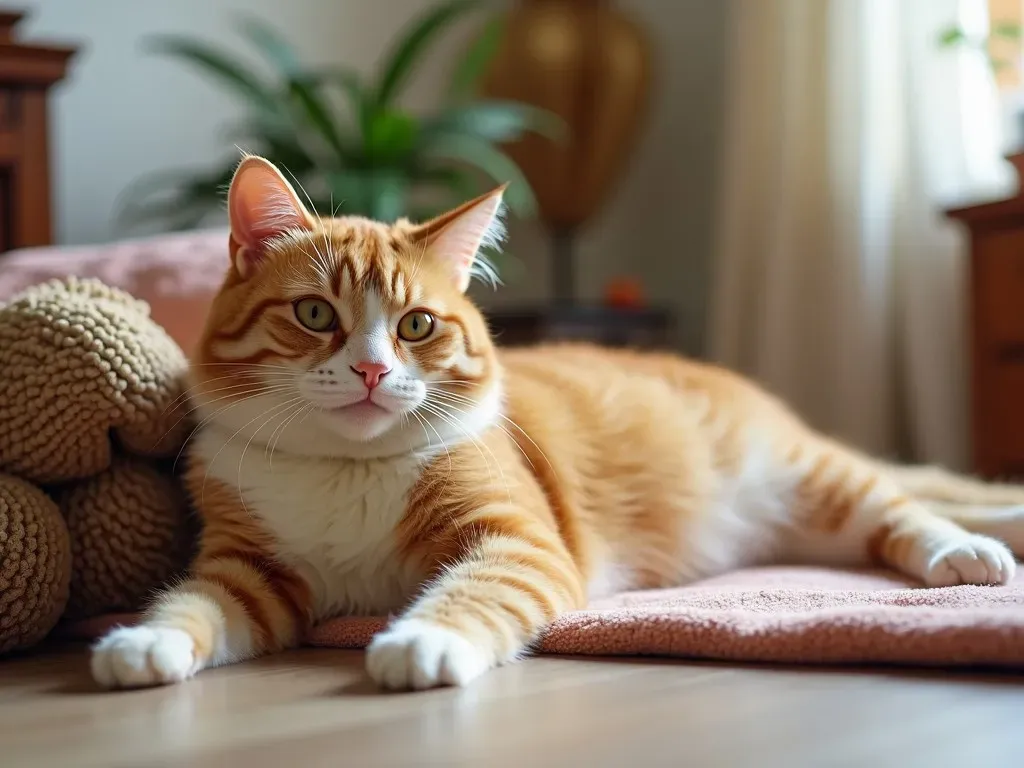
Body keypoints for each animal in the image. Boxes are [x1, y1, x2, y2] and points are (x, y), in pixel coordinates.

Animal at [92, 154, 1019, 692]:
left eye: (416, 326)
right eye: (316, 313)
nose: (372, 370)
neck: (344, 472)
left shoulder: (517, 541)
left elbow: (468, 595)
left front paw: (419, 643)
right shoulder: (250, 570)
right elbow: (194, 605)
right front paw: (144, 644)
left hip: (815, 481)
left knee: (909, 509)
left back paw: (969, 555)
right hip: (800, 527)